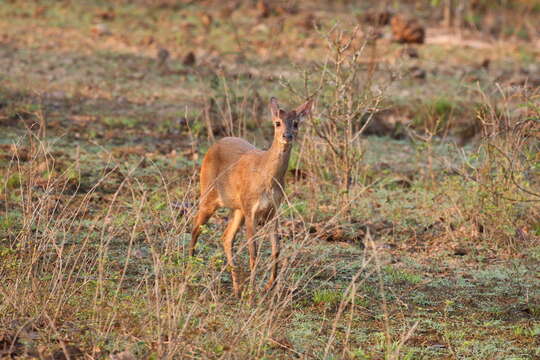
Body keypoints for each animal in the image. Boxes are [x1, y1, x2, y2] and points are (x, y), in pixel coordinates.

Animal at [190, 96, 312, 296]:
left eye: (296, 123)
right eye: (277, 123)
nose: (287, 136)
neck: (267, 178)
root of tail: (212, 147)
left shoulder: (272, 210)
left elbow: (276, 248)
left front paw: (269, 285)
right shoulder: (251, 209)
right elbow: (253, 250)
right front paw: (252, 291)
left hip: (237, 209)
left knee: (226, 237)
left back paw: (236, 287)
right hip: (208, 195)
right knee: (195, 228)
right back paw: (190, 269)